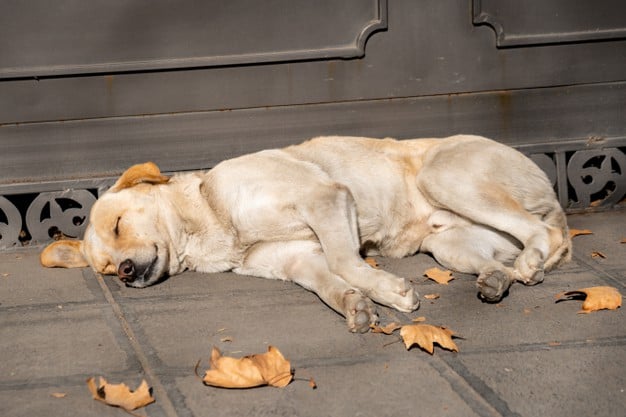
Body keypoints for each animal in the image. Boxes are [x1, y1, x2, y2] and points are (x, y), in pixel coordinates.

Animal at [41, 135, 572, 330]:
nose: (126, 272)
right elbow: (328, 284)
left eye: (118, 224)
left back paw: (533, 260)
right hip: (449, 244)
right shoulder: (296, 258)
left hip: (444, 176)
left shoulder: (326, 199)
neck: (210, 214)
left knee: (544, 237)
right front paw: (357, 305)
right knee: (501, 259)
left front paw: (387, 291)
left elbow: (345, 261)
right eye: (105, 267)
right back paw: (497, 279)